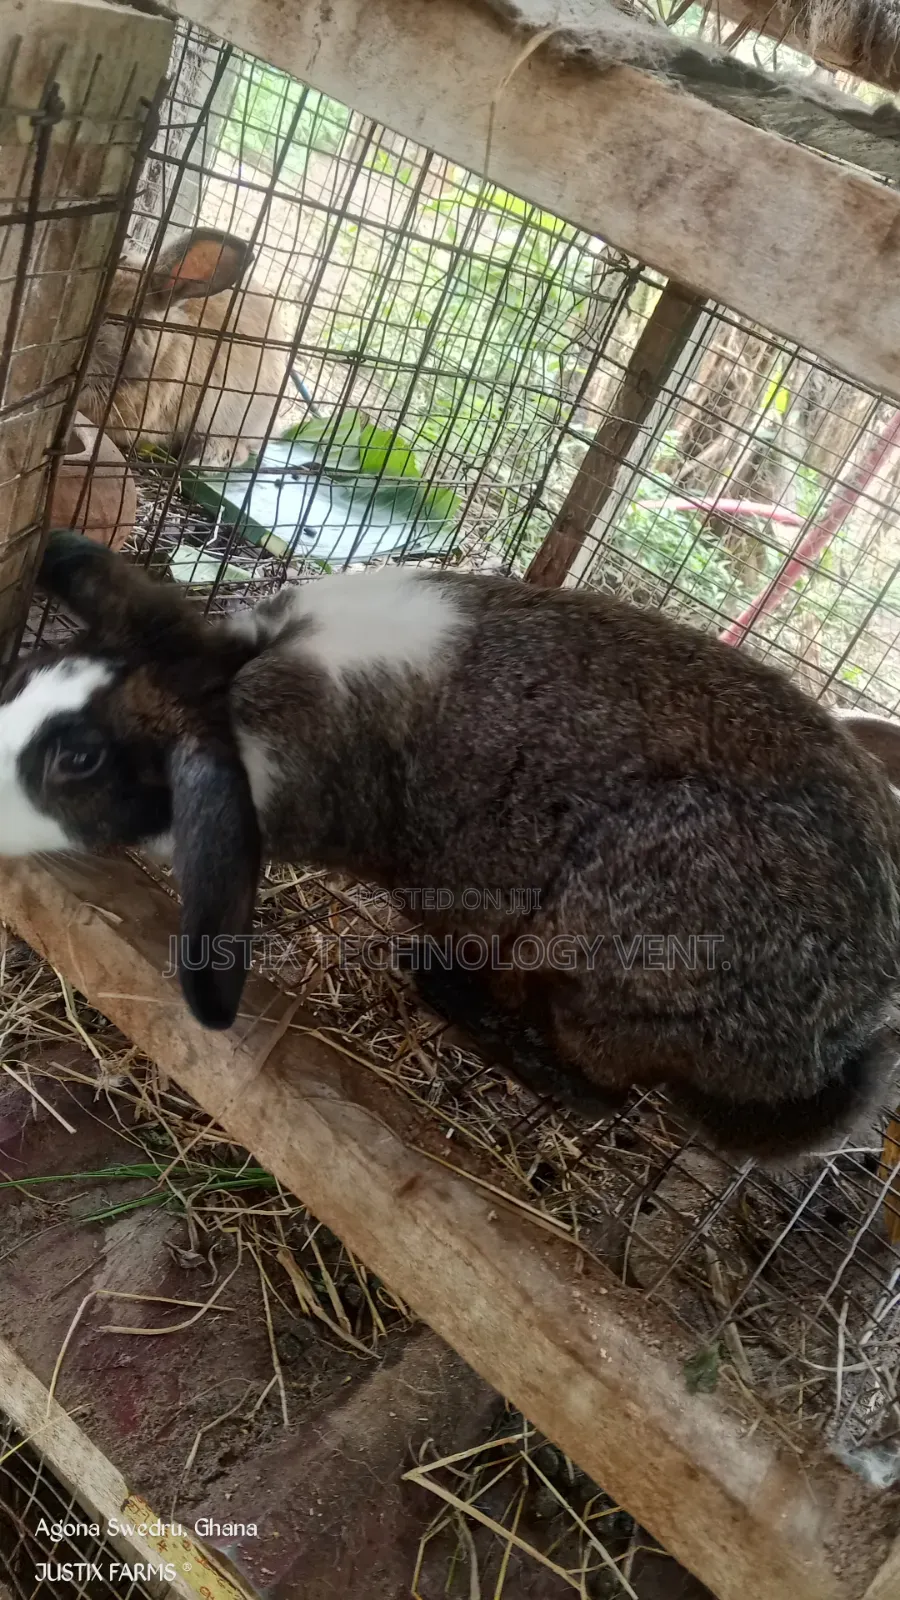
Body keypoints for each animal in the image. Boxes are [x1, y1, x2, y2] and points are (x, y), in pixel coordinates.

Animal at [3, 526, 900, 1165]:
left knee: (602, 1089)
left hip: (611, 949)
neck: (231, 686)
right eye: (31, 677)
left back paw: (452, 996)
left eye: (78, 761)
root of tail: (838, 1041)